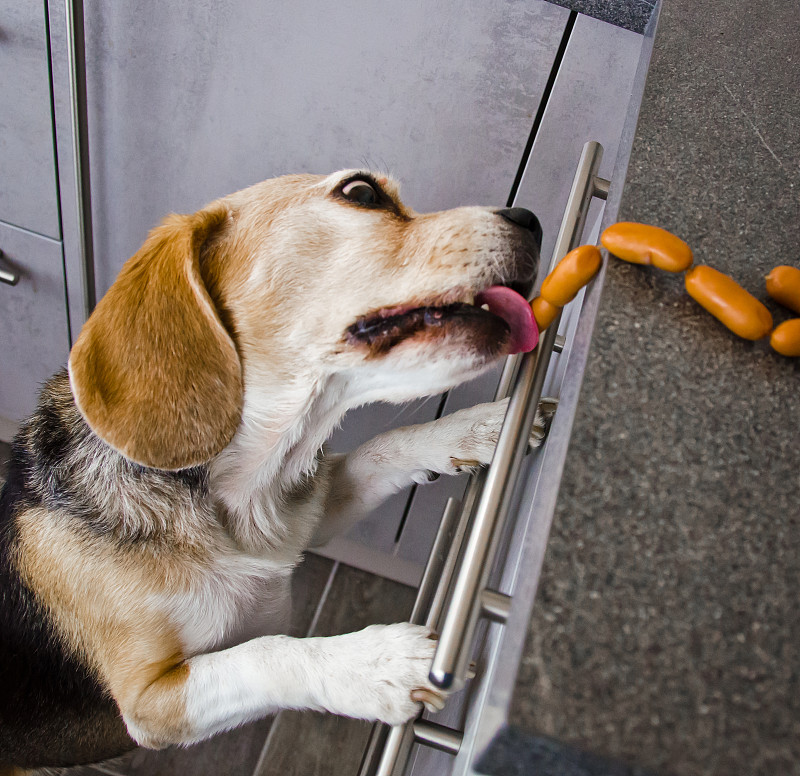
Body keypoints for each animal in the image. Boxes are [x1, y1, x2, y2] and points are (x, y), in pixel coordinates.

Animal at [0, 171, 544, 768]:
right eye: (362, 192)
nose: (533, 221)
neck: (235, 493)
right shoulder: (152, 701)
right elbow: (267, 653)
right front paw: (376, 663)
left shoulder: (307, 517)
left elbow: (384, 447)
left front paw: (483, 426)